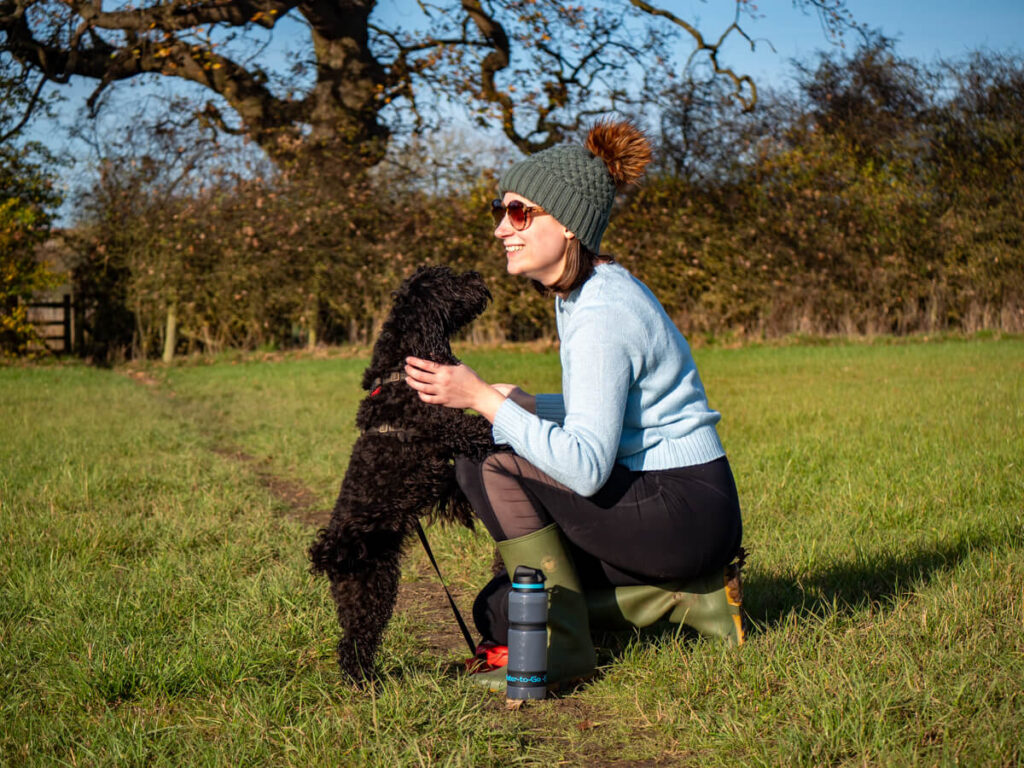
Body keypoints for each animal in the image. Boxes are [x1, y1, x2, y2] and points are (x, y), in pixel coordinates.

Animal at [309, 266, 497, 684]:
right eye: (449, 280)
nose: (477, 273)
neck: (403, 369)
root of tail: (330, 552)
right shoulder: (449, 426)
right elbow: (483, 428)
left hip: (368, 587)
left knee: (353, 638)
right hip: (371, 585)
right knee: (354, 643)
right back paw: (366, 684)